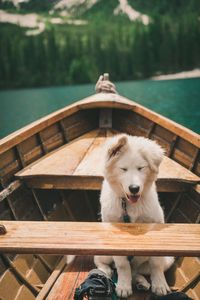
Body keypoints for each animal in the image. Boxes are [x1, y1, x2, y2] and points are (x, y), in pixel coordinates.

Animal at [94, 135, 174, 298]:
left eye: (141, 168)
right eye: (123, 169)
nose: (134, 188)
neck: (128, 205)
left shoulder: (156, 225)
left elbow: (156, 263)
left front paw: (160, 284)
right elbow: (122, 265)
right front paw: (123, 286)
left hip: (168, 259)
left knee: (137, 270)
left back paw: (141, 282)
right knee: (98, 260)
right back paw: (105, 270)